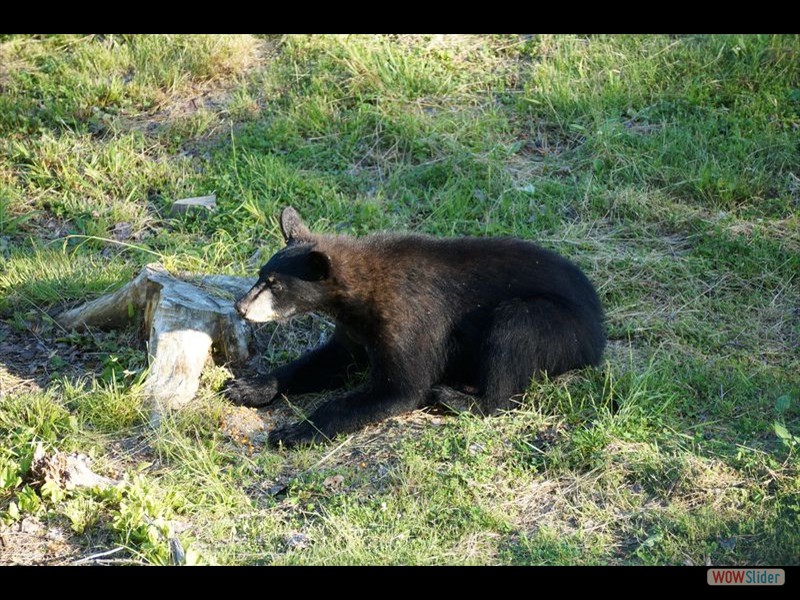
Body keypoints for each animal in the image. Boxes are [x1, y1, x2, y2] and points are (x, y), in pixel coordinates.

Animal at [226, 207, 606, 447]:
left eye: (275, 285)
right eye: (261, 274)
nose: (240, 306)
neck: (363, 291)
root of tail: (598, 330)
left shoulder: (411, 318)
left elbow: (401, 387)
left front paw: (297, 432)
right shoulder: (355, 328)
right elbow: (331, 360)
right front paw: (247, 387)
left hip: (557, 324)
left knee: (514, 333)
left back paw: (456, 398)